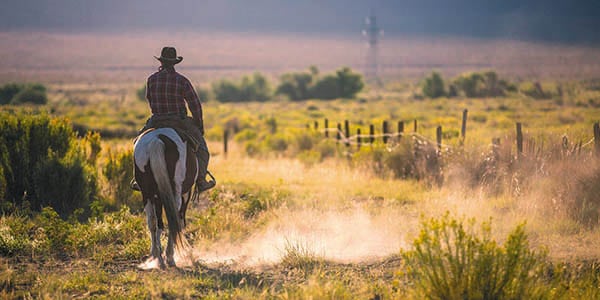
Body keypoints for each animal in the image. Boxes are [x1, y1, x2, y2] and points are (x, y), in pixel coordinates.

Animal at [132, 126, 198, 268]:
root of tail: (157, 140)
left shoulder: (157, 197)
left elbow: (159, 224)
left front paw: (156, 253)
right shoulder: (186, 194)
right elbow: (179, 221)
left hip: (146, 193)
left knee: (152, 221)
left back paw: (157, 257)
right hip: (175, 192)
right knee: (173, 219)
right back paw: (170, 257)